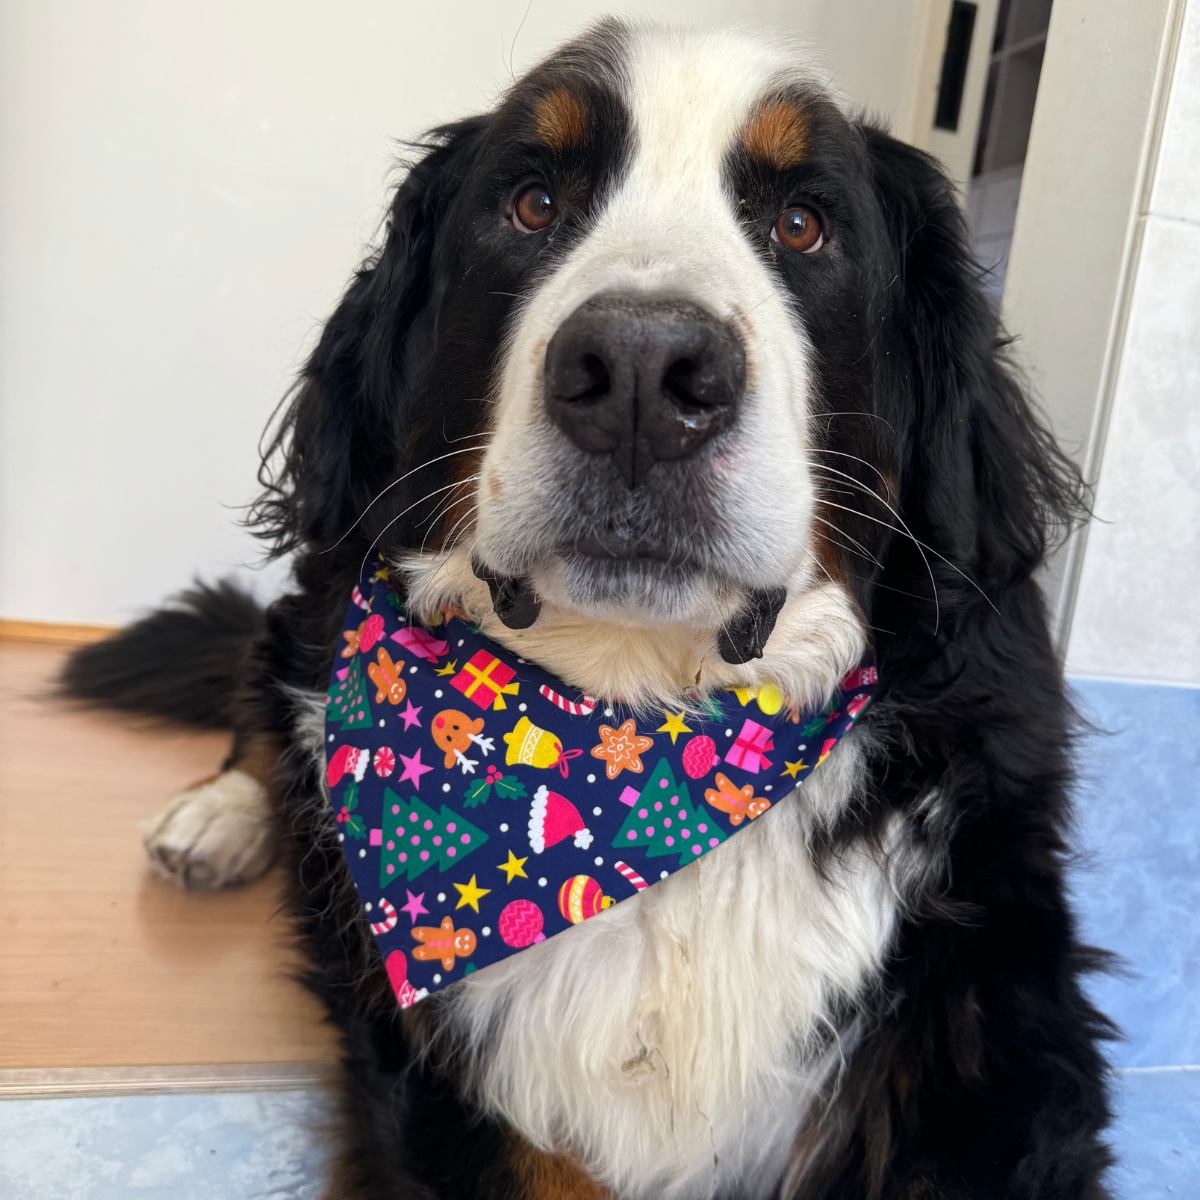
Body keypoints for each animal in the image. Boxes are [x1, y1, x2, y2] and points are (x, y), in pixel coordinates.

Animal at [65, 18, 1113, 1200]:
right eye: (533, 204)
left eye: (803, 225)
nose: (644, 372)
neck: (641, 724)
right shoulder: (442, 1098)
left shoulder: (1005, 1042)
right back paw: (220, 816)